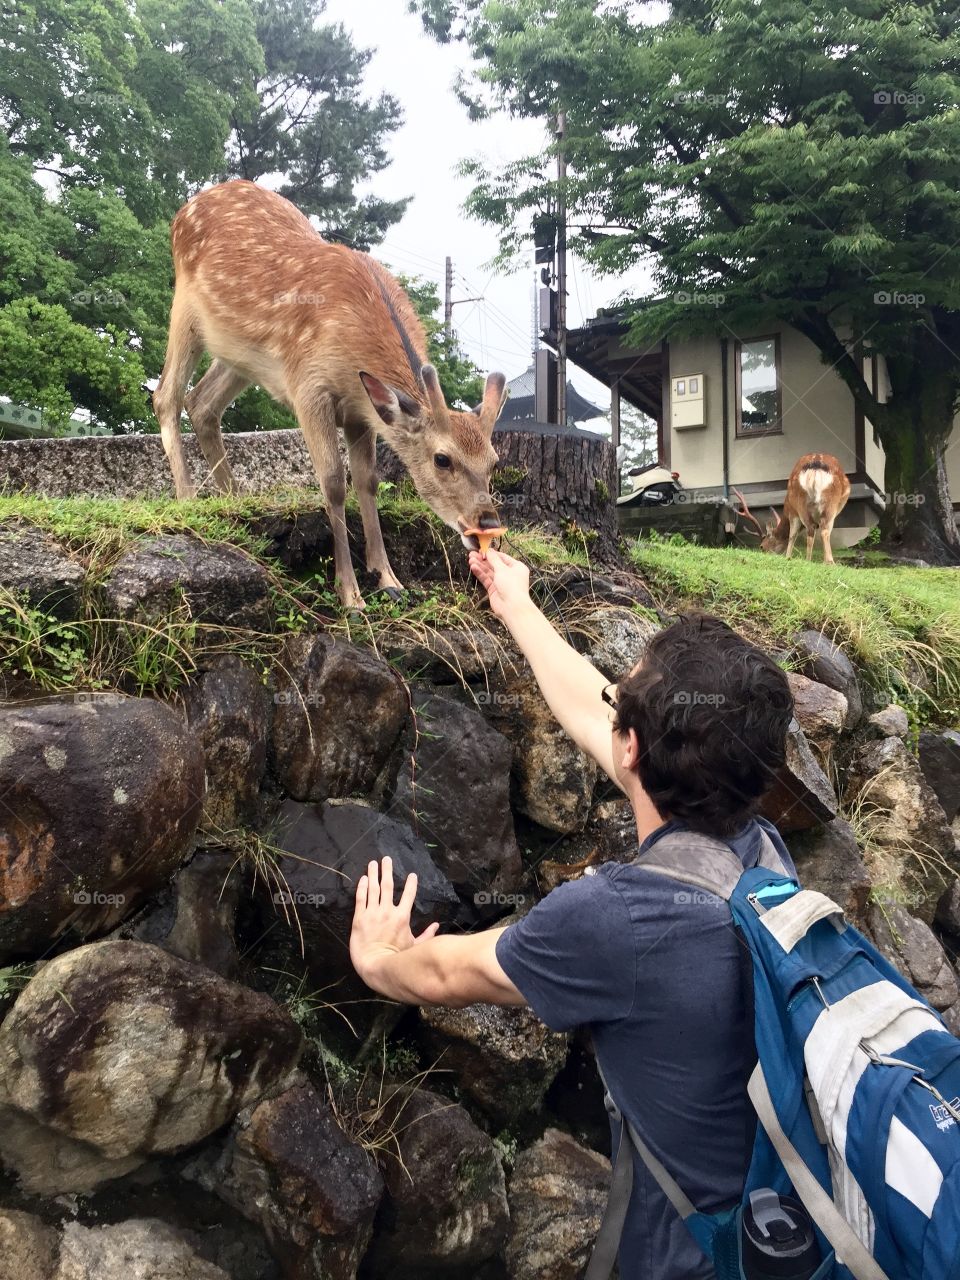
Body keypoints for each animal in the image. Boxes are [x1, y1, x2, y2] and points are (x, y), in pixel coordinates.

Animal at [152, 180, 508, 608]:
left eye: (494, 461)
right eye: (443, 459)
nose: (486, 524)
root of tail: (183, 210)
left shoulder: (362, 411)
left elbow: (367, 480)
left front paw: (388, 579)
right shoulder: (309, 388)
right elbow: (334, 481)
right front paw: (350, 595)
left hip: (239, 353)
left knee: (202, 402)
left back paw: (233, 495)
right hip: (185, 309)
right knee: (166, 396)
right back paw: (188, 496)